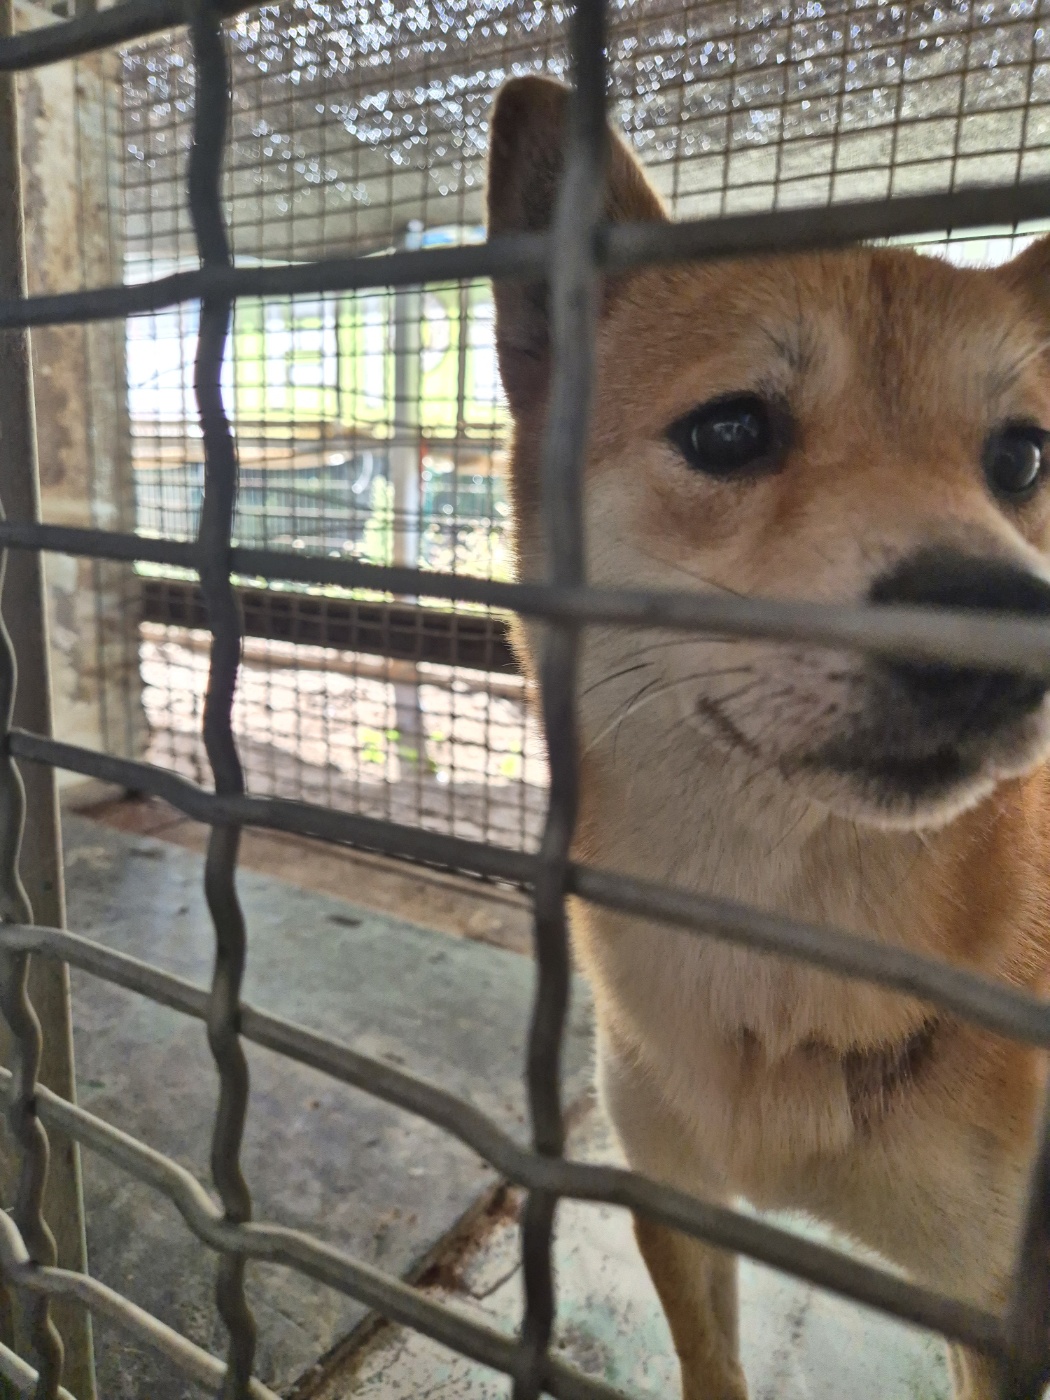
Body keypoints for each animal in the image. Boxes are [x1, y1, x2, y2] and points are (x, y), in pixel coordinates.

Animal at [487, 76, 1050, 1400]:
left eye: (1021, 456)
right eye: (731, 430)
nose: (993, 618)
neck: (787, 960)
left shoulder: (997, 1298)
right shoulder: (672, 1185)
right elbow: (711, 1361)